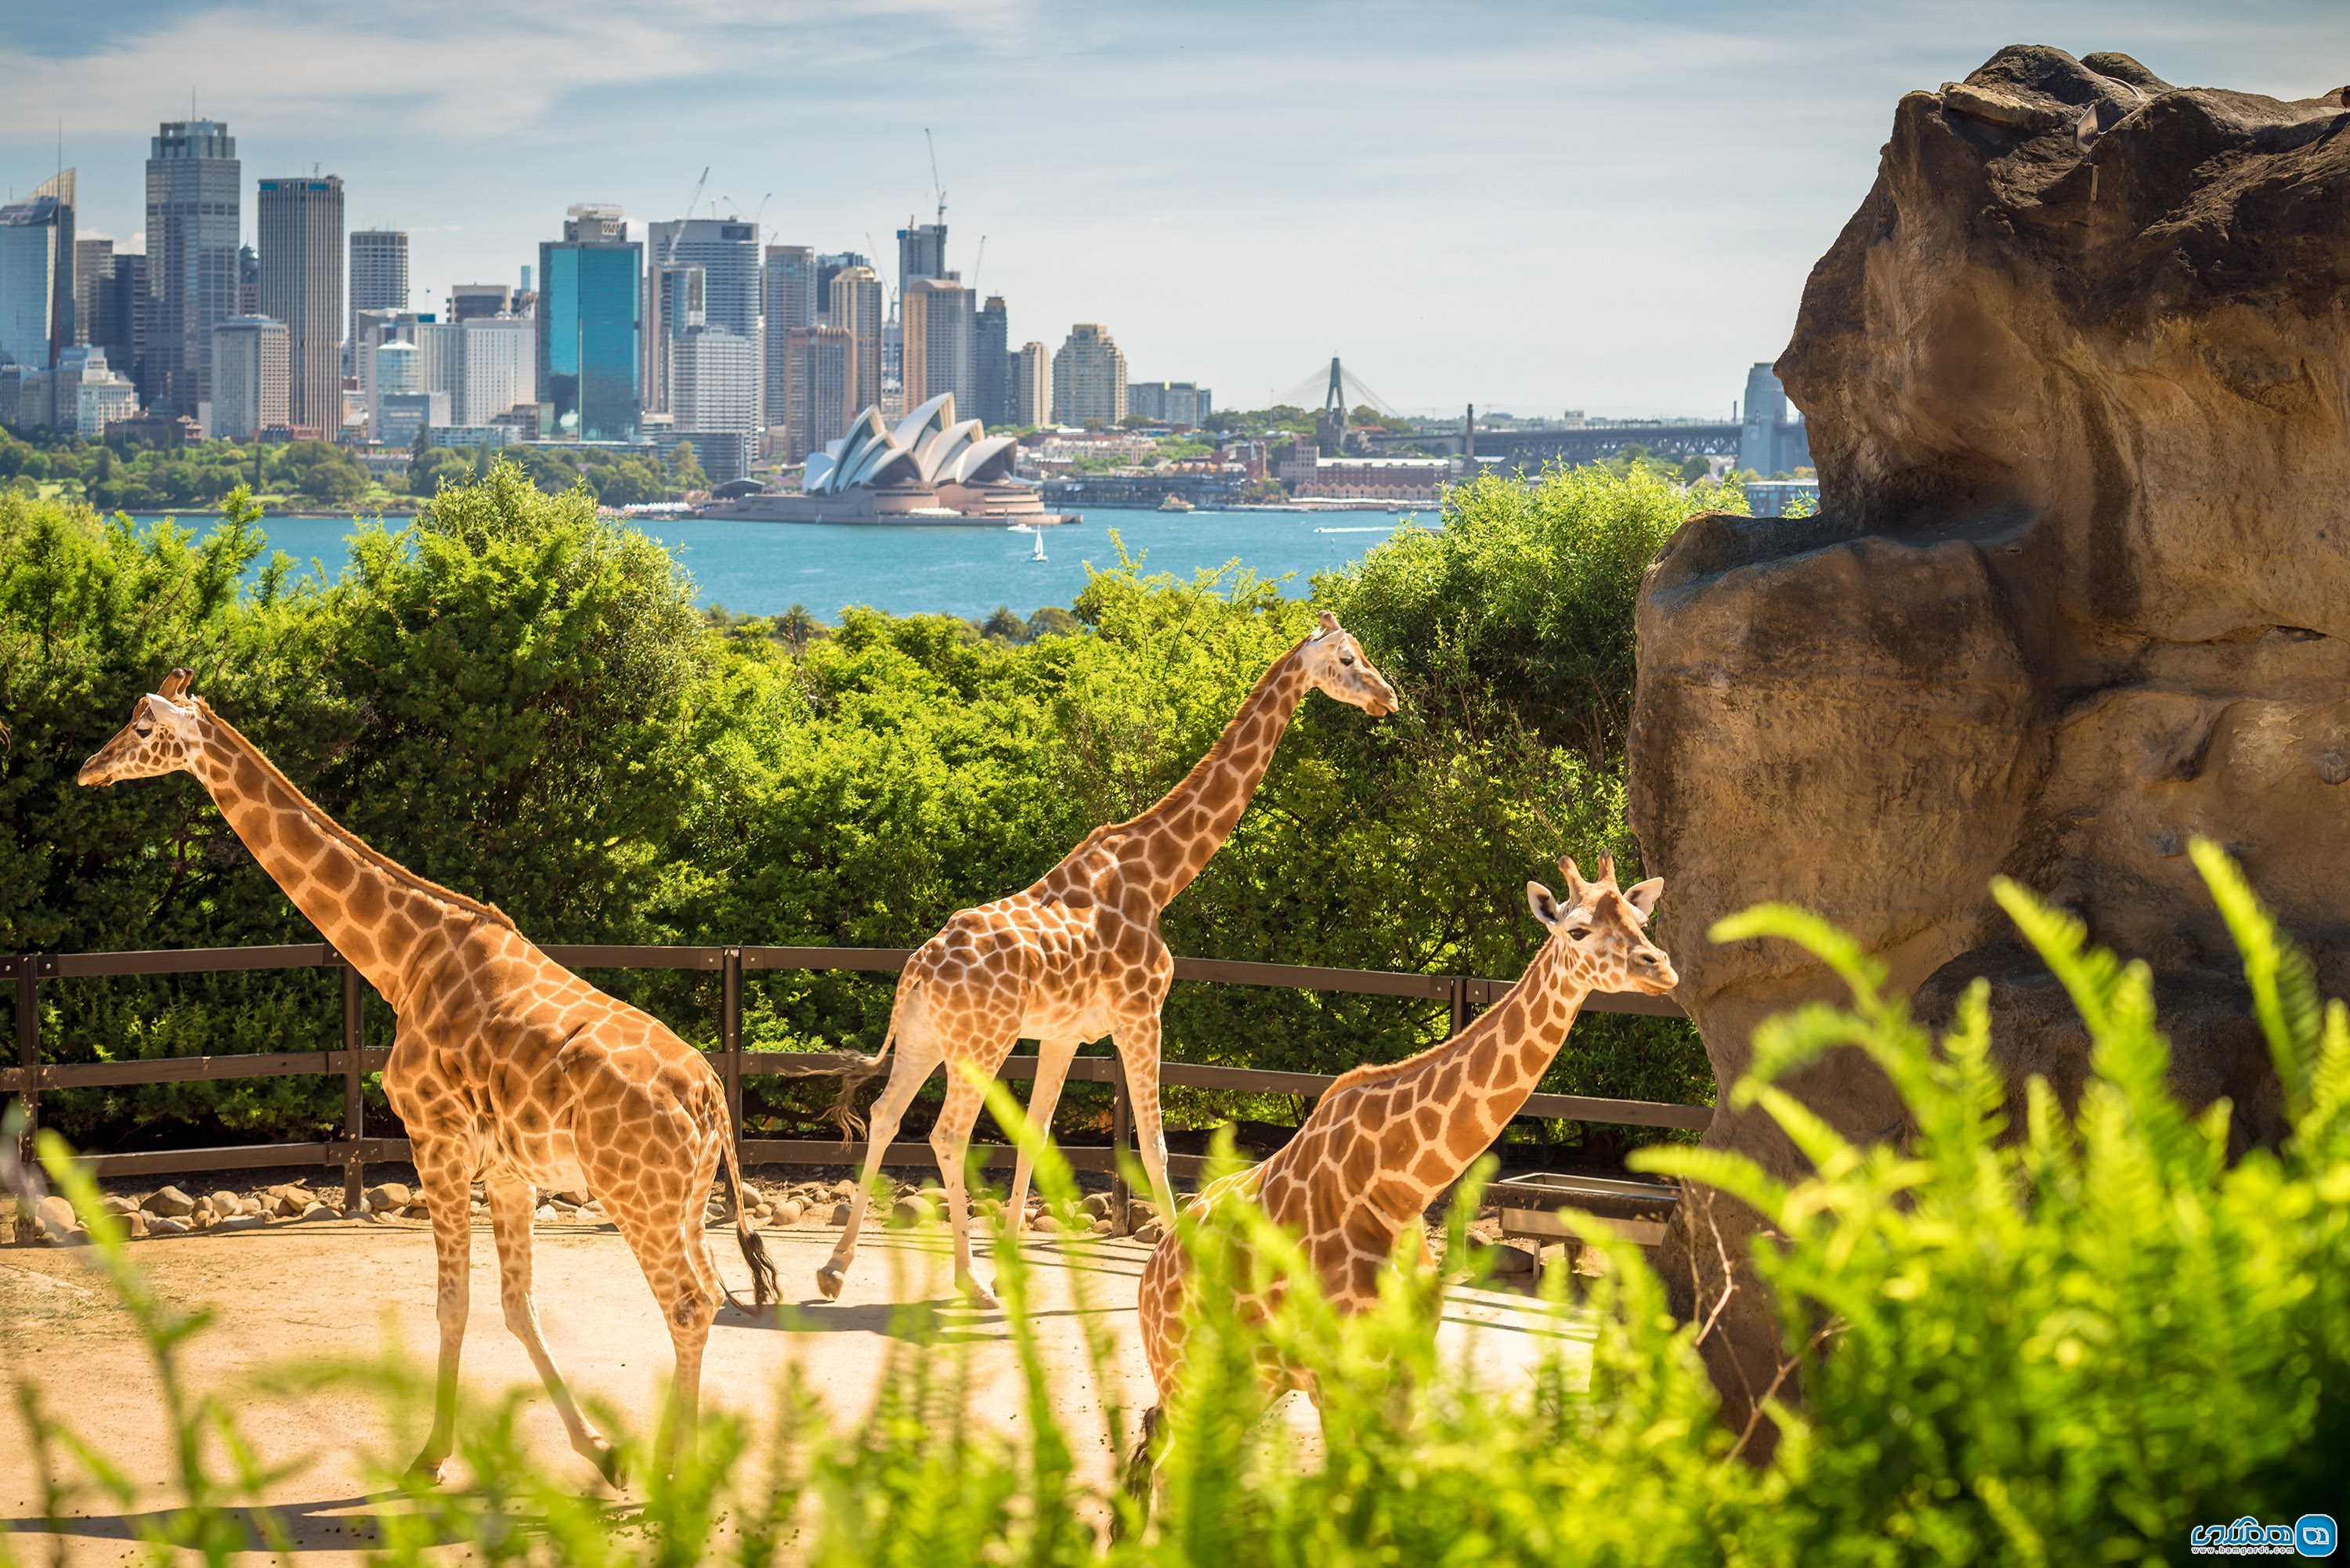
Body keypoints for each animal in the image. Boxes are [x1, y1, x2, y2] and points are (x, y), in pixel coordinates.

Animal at [78, 667, 776, 1476]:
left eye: (142, 727)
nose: (87, 768)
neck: (403, 963)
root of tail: (711, 1093)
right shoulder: (506, 1170)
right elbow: (517, 1305)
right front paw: (597, 1451)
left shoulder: (434, 1140)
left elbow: (453, 1304)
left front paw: (430, 1457)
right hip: (684, 1200)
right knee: (713, 1294)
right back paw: (671, 1464)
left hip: (639, 1197)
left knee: (687, 1302)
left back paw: (674, 1472)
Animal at [818, 611, 1391, 1316]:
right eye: (1349, 658)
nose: (1388, 697)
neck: (1160, 876)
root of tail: (918, 968)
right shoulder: (1141, 1014)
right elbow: (1155, 1144)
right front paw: (1187, 1274)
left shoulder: (1064, 1034)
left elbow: (1037, 1137)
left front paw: (1012, 1267)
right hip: (982, 1044)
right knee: (948, 1134)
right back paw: (967, 1281)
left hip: (926, 1038)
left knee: (885, 1116)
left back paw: (836, 1269)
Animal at [1133, 860, 1673, 1457]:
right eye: (1576, 930)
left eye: (1641, 920)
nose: (1661, 968)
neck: (1398, 1189)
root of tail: (1151, 1271)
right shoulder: (1336, 1376)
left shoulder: (1404, 1372)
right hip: (1188, 1375)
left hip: (1249, 1381)